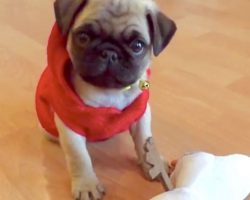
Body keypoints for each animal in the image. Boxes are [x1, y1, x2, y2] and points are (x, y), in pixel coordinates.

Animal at [47, 0, 177, 199]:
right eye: (83, 37)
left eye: (137, 46)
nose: (109, 52)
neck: (108, 92)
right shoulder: (70, 125)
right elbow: (79, 157)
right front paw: (86, 184)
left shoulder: (140, 114)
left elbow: (144, 141)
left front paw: (152, 164)